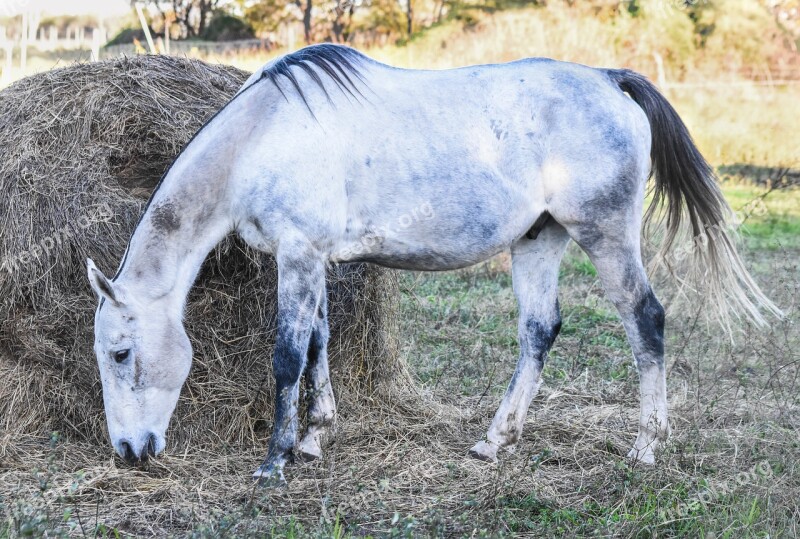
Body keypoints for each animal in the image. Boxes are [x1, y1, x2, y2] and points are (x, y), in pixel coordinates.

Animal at [86, 45, 776, 486]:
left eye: (120, 353)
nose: (128, 451)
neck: (263, 138)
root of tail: (610, 80)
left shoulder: (298, 255)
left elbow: (287, 354)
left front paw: (276, 460)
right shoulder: (314, 260)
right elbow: (319, 342)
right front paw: (314, 437)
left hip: (603, 236)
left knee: (646, 320)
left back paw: (645, 446)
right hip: (539, 239)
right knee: (539, 330)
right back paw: (495, 440)